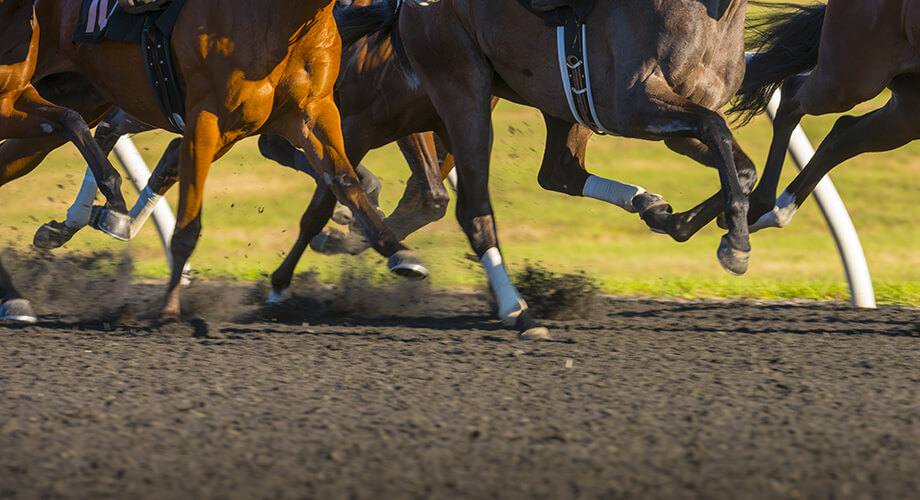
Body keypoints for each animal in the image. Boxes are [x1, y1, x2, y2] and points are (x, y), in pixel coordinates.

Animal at [0, 0, 424, 324]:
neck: (283, 18)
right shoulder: (205, 121)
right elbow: (188, 224)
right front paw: (170, 308)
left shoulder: (312, 114)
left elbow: (345, 182)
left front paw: (398, 250)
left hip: (67, 97)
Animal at [330, 0, 756, 336]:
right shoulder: (631, 106)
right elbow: (716, 130)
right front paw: (736, 241)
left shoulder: (679, 121)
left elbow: (741, 166)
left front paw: (693, 225)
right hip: (462, 86)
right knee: (474, 208)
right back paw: (516, 310)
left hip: (560, 96)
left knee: (558, 172)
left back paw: (645, 203)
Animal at [732, 0, 920, 232]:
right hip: (850, 81)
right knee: (793, 95)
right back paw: (757, 207)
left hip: (906, 112)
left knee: (841, 138)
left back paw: (769, 212)